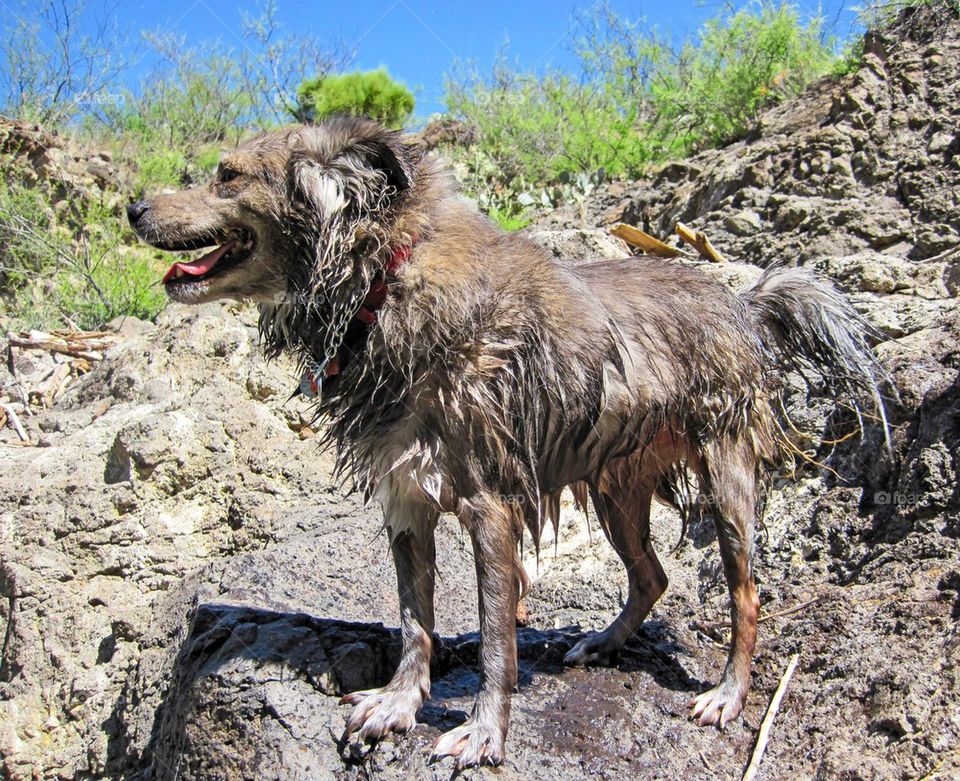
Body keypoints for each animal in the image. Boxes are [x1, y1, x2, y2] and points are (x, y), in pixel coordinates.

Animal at [127, 117, 884, 768]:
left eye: (226, 175)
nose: (133, 206)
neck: (384, 282)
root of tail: (742, 302)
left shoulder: (490, 507)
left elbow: (495, 637)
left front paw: (484, 732)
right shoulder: (407, 502)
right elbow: (415, 622)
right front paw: (399, 703)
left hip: (726, 482)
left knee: (745, 594)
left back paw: (728, 692)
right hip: (615, 490)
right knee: (653, 575)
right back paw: (603, 640)